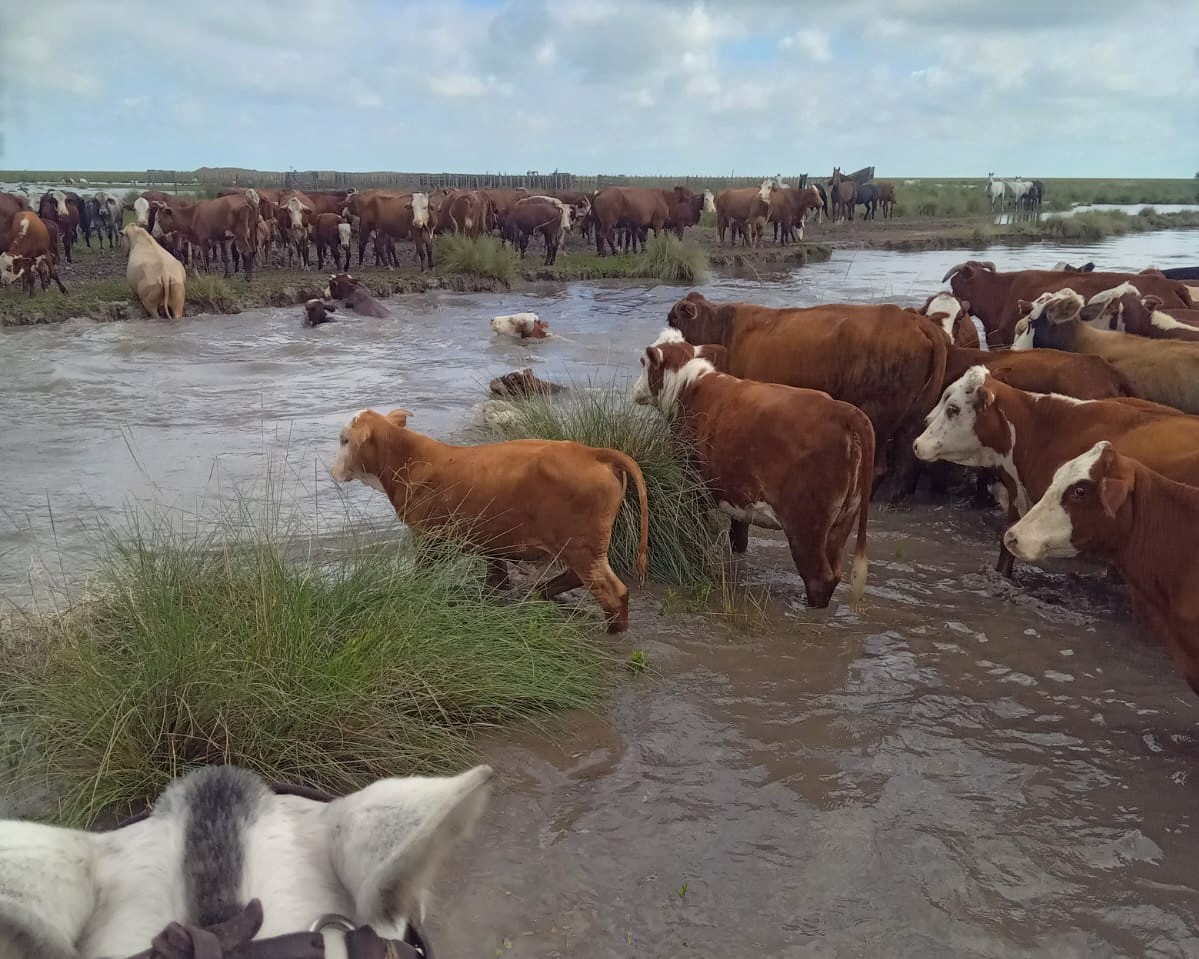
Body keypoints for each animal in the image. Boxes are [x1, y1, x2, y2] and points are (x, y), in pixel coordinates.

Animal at [331, 408, 648, 632]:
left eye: (344, 440)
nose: (332, 471)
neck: (409, 460)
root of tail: (591, 452)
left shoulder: (429, 539)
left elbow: (422, 574)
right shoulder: (490, 540)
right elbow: (496, 574)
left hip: (581, 546)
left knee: (613, 592)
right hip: (580, 546)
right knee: (576, 577)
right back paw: (541, 592)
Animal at [633, 331, 872, 608]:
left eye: (643, 362)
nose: (635, 389)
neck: (689, 387)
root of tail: (843, 411)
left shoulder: (691, 484)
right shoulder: (738, 494)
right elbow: (738, 536)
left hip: (806, 525)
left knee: (819, 577)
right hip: (842, 520)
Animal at [666, 291, 947, 499]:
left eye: (674, 320)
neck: (721, 329)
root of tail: (912, 319)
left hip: (878, 413)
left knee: (879, 467)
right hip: (912, 415)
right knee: (908, 457)